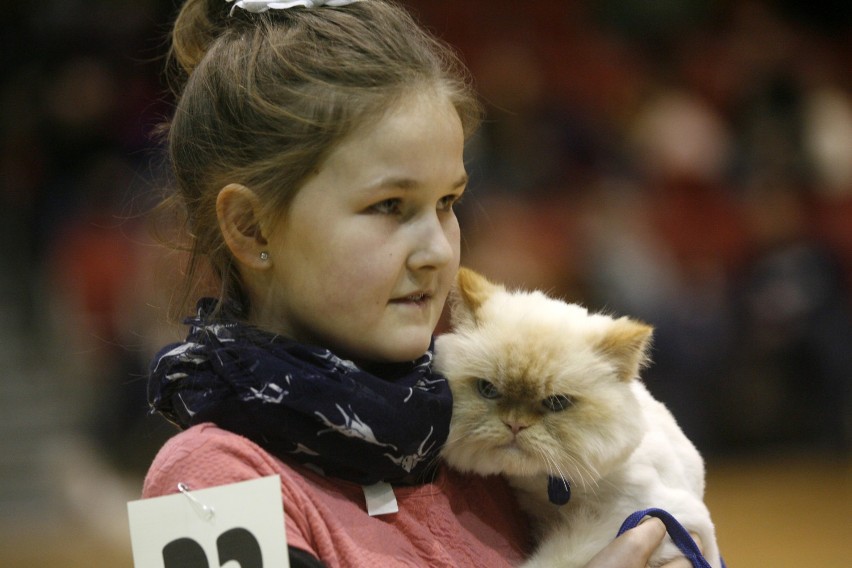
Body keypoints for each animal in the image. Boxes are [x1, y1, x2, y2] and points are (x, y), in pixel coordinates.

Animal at [436, 268, 724, 568]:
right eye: (488, 390)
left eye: (556, 402)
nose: (515, 424)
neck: (551, 486)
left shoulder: (656, 517)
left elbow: (557, 560)